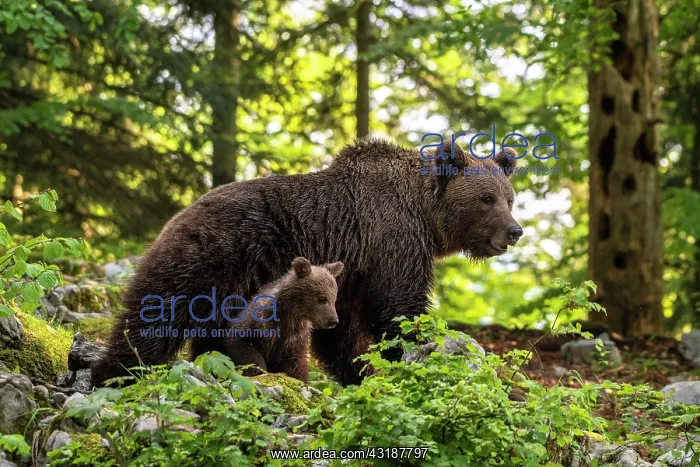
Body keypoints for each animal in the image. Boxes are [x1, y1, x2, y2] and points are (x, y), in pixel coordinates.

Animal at [91, 138, 522, 387]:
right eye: (486, 198)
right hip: (209, 258)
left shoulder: (349, 276)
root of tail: (180, 213)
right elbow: (399, 310)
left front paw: (358, 373)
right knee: (156, 312)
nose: (514, 231)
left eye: (509, 197)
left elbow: (342, 334)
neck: (425, 214)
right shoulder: (392, 241)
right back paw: (112, 374)